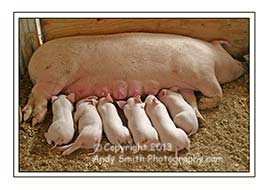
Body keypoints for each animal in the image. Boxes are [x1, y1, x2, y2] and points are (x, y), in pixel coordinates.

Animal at [22, 32, 245, 125]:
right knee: (38, 94)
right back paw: (32, 120)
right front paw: (206, 104)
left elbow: (190, 99)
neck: (214, 58)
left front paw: (200, 114)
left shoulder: (185, 86)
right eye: (229, 53)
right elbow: (217, 91)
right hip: (54, 74)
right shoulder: (201, 72)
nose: (243, 62)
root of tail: (32, 63)